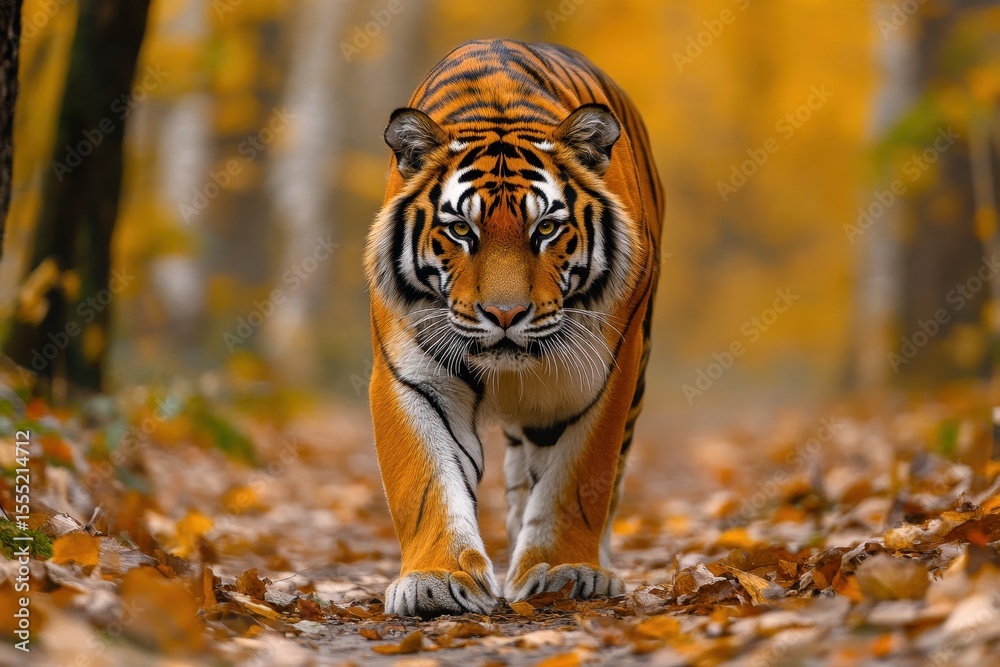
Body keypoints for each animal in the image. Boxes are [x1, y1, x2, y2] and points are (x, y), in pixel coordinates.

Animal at [364, 38, 663, 618]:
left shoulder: (601, 373)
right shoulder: (413, 373)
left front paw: (565, 571)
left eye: (545, 228)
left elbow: (578, 480)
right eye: (461, 230)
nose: (504, 315)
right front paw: (436, 580)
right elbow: (426, 480)